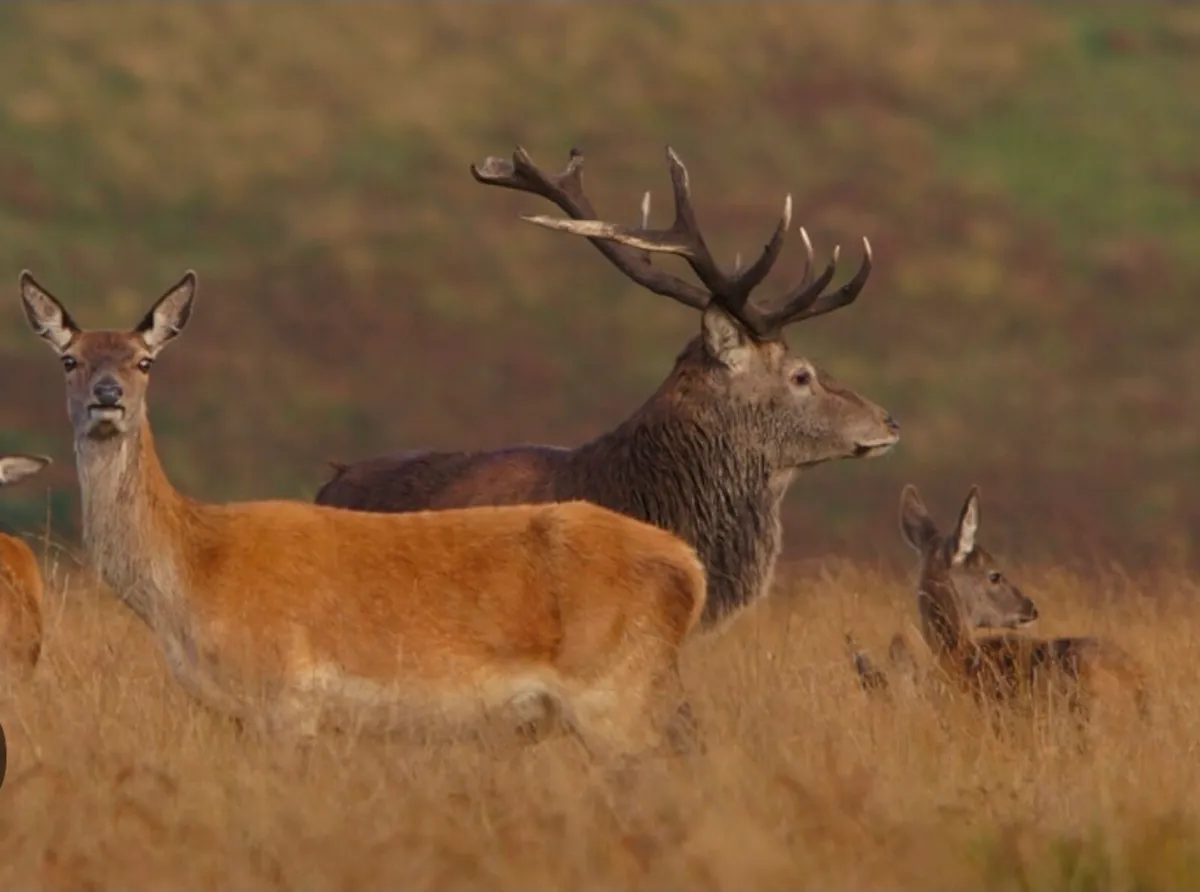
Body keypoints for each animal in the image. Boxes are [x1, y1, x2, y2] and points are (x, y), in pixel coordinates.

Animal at [18, 270, 709, 759]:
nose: (107, 397)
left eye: (144, 360)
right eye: (70, 359)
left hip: (615, 695)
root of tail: (691, 568)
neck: (190, 578)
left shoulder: (285, 698)